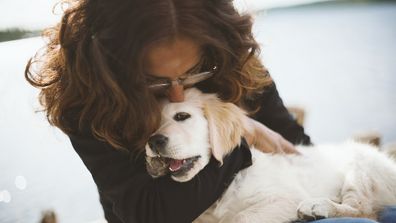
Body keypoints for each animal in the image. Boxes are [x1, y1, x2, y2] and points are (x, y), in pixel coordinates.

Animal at [145, 88, 396, 222]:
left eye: (182, 116)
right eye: (151, 125)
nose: (154, 141)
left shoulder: (284, 197)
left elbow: (240, 217)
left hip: (361, 168)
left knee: (364, 210)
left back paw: (317, 206)